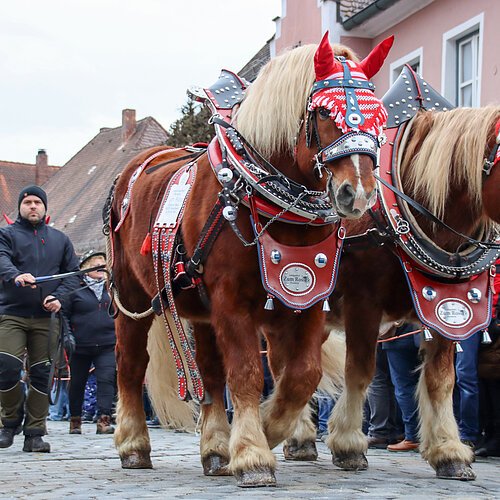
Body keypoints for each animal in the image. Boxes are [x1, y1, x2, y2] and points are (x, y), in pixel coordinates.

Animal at [108, 33, 394, 486]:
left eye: (380, 116)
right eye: (322, 112)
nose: (359, 193)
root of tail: (136, 166)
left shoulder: (306, 302)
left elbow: (302, 375)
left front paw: (267, 429)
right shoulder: (232, 303)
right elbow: (245, 374)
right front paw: (254, 454)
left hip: (199, 310)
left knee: (209, 374)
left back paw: (215, 449)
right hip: (132, 300)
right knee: (131, 365)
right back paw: (134, 444)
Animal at [290, 104, 500, 480]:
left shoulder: (447, 307)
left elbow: (441, 379)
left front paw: (449, 451)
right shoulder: (363, 304)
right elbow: (360, 370)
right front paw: (348, 444)